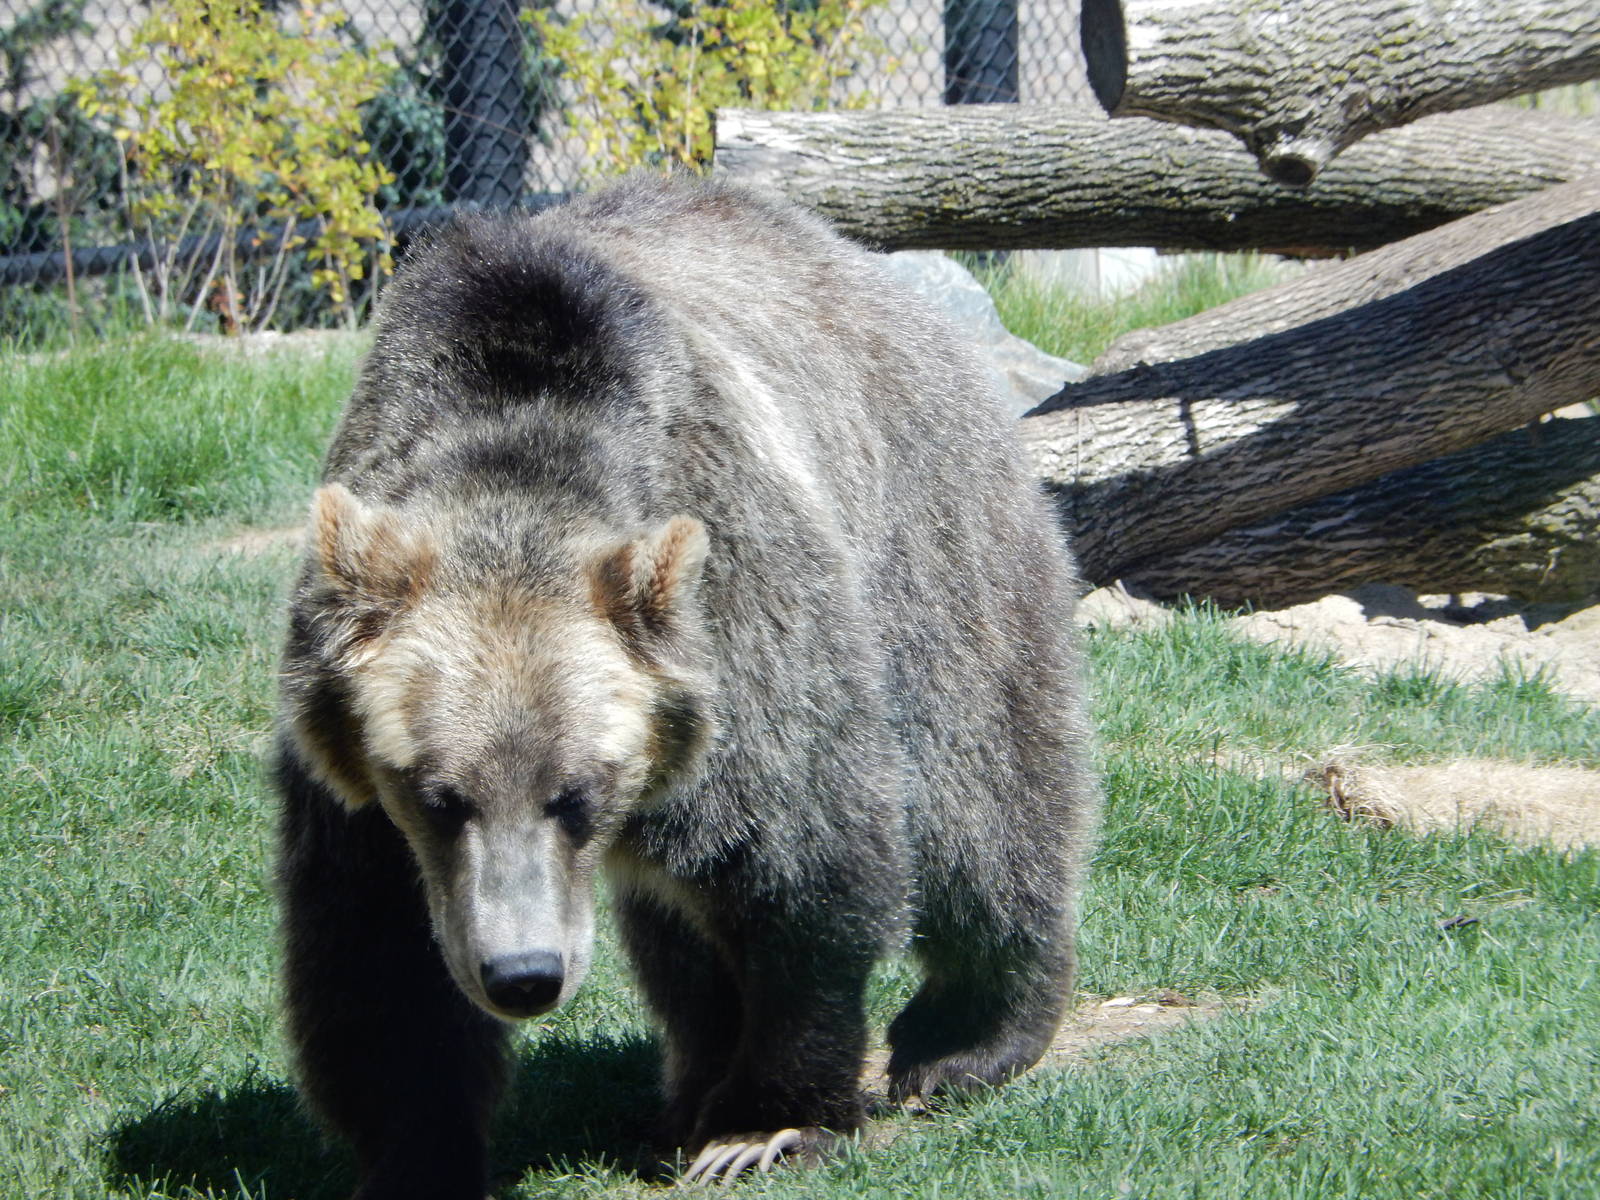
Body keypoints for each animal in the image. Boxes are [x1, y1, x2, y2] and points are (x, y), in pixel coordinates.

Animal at [273, 174, 1098, 1198]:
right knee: (679, 924)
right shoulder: (350, 770)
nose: (525, 974)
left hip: (931, 541)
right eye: (440, 797)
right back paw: (689, 1085)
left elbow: (801, 858)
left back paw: (969, 1036)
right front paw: (420, 1150)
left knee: (981, 796)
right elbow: (377, 956)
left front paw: (768, 1123)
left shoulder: (741, 612)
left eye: (573, 795)